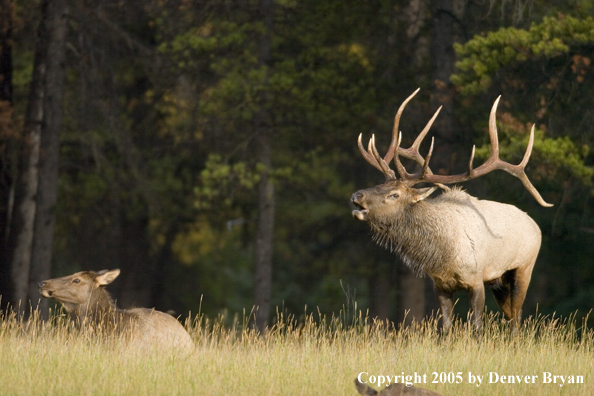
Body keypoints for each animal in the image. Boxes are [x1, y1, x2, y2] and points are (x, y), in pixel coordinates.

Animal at [352, 89, 552, 332]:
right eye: (380, 184)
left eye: (394, 195)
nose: (357, 196)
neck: (443, 255)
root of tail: (535, 225)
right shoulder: (440, 285)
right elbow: (445, 327)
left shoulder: (476, 279)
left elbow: (476, 327)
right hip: (499, 280)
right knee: (515, 314)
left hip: (524, 267)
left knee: (515, 317)